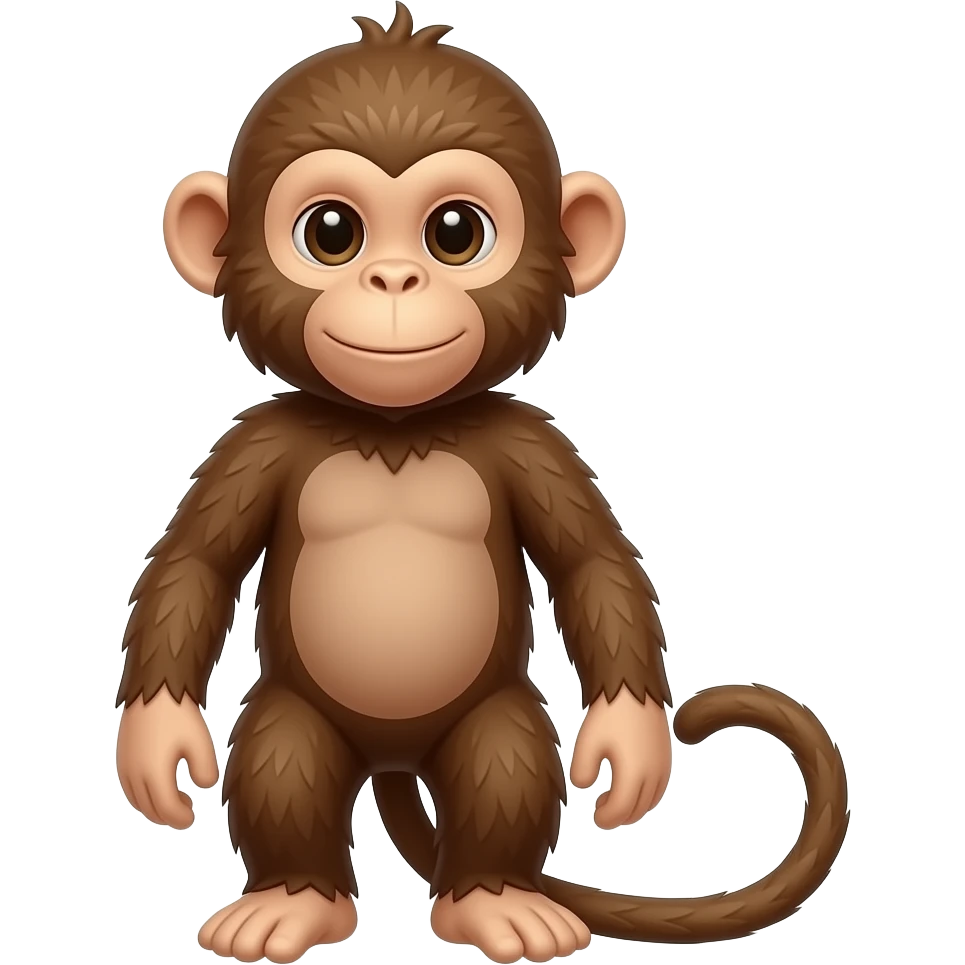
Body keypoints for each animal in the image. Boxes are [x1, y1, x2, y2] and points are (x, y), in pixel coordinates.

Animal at [115, 4, 850, 963]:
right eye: (331, 232)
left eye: (455, 232)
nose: (394, 278)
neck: (393, 428)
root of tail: (393, 763)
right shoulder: (253, 445)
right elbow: (194, 565)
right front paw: (155, 742)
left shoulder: (533, 445)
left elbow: (590, 564)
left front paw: (631, 742)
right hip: (298, 715)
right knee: (284, 759)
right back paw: (292, 899)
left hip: (489, 718)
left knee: (503, 761)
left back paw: (494, 900)